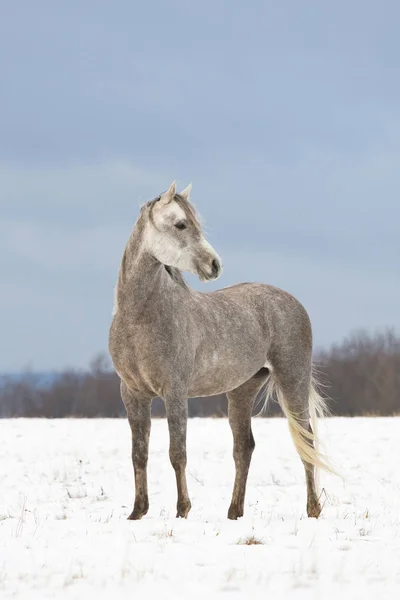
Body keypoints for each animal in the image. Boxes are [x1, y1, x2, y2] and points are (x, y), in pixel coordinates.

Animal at [108, 179, 330, 520]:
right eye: (181, 224)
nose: (214, 265)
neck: (140, 318)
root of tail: (291, 301)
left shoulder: (174, 391)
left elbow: (177, 452)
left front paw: (182, 510)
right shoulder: (132, 393)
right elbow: (139, 453)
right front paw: (137, 512)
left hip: (292, 380)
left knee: (305, 440)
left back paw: (313, 510)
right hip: (242, 390)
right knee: (244, 447)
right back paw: (234, 512)